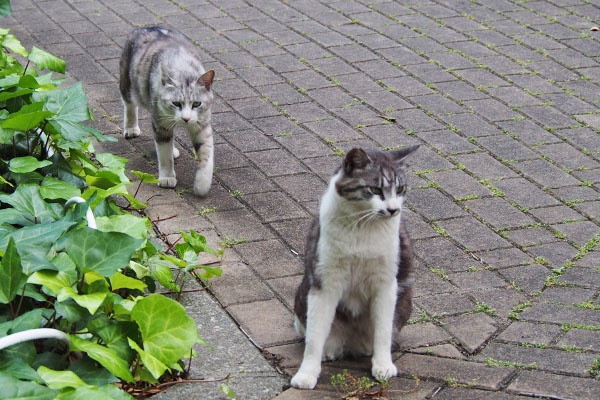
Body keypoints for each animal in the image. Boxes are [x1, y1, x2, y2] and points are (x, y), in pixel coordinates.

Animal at [118, 24, 214, 196]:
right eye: (176, 103)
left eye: (196, 104)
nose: (186, 119)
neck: (182, 68)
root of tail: (146, 26)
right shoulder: (160, 123)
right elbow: (164, 154)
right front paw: (167, 178)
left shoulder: (202, 123)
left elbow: (206, 153)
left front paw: (202, 184)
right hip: (128, 82)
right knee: (129, 104)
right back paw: (131, 128)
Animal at [290, 145, 418, 390]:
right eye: (375, 189)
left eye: (400, 188)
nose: (393, 210)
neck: (363, 226)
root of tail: (352, 345)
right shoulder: (325, 283)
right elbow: (314, 338)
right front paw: (306, 374)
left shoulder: (386, 284)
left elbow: (383, 331)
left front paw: (383, 365)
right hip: (302, 295)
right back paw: (328, 351)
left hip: (404, 300)